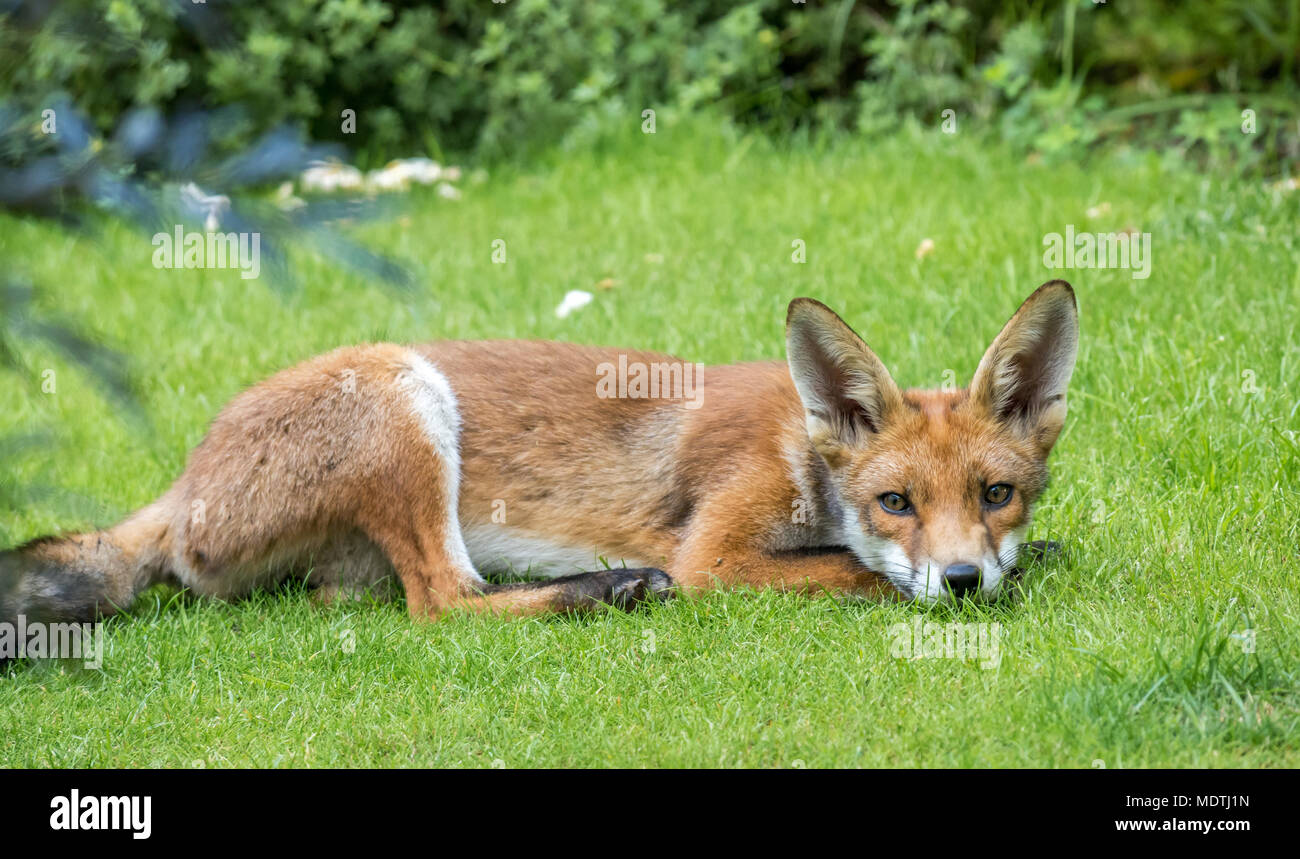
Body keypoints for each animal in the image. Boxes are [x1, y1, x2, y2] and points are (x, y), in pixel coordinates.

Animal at [0, 282, 1076, 623]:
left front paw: (1029, 559)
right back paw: (603, 589)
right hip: (401, 398)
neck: (799, 446)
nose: (964, 579)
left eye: (996, 493)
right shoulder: (716, 556)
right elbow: (856, 573)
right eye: (896, 502)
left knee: (361, 596)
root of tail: (181, 484)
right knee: (444, 603)